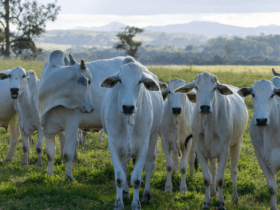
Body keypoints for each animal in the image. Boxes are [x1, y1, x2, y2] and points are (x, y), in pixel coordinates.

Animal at [35, 50, 93, 180]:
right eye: (87, 81)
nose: (91, 108)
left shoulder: (72, 125)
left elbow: (67, 154)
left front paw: (69, 176)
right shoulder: (47, 127)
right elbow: (50, 154)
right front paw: (50, 174)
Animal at [100, 57, 163, 210]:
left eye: (140, 81)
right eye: (120, 80)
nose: (128, 107)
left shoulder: (143, 146)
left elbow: (136, 179)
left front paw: (136, 204)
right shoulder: (114, 145)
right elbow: (119, 177)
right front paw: (118, 203)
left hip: (153, 138)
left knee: (149, 165)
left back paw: (146, 195)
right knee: (124, 166)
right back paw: (125, 193)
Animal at [174, 72, 248, 210]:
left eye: (214, 88)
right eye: (196, 87)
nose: (205, 107)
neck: (208, 123)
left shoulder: (224, 151)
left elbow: (220, 179)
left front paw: (221, 204)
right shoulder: (201, 151)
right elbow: (207, 178)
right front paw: (206, 203)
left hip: (237, 142)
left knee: (234, 170)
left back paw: (234, 197)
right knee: (213, 169)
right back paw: (213, 192)